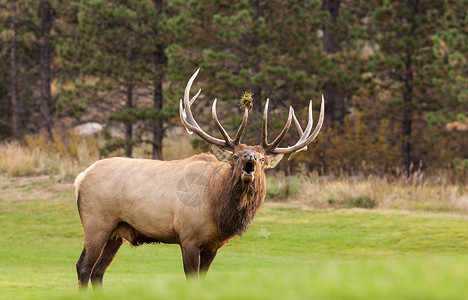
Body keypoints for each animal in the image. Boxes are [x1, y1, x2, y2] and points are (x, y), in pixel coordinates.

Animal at [76, 68, 326, 288]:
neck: (218, 210)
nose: (250, 157)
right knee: (83, 267)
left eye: (263, 158)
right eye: (235, 155)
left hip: (117, 232)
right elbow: (191, 279)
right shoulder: (188, 238)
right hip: (97, 223)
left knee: (98, 272)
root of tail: (80, 178)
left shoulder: (213, 245)